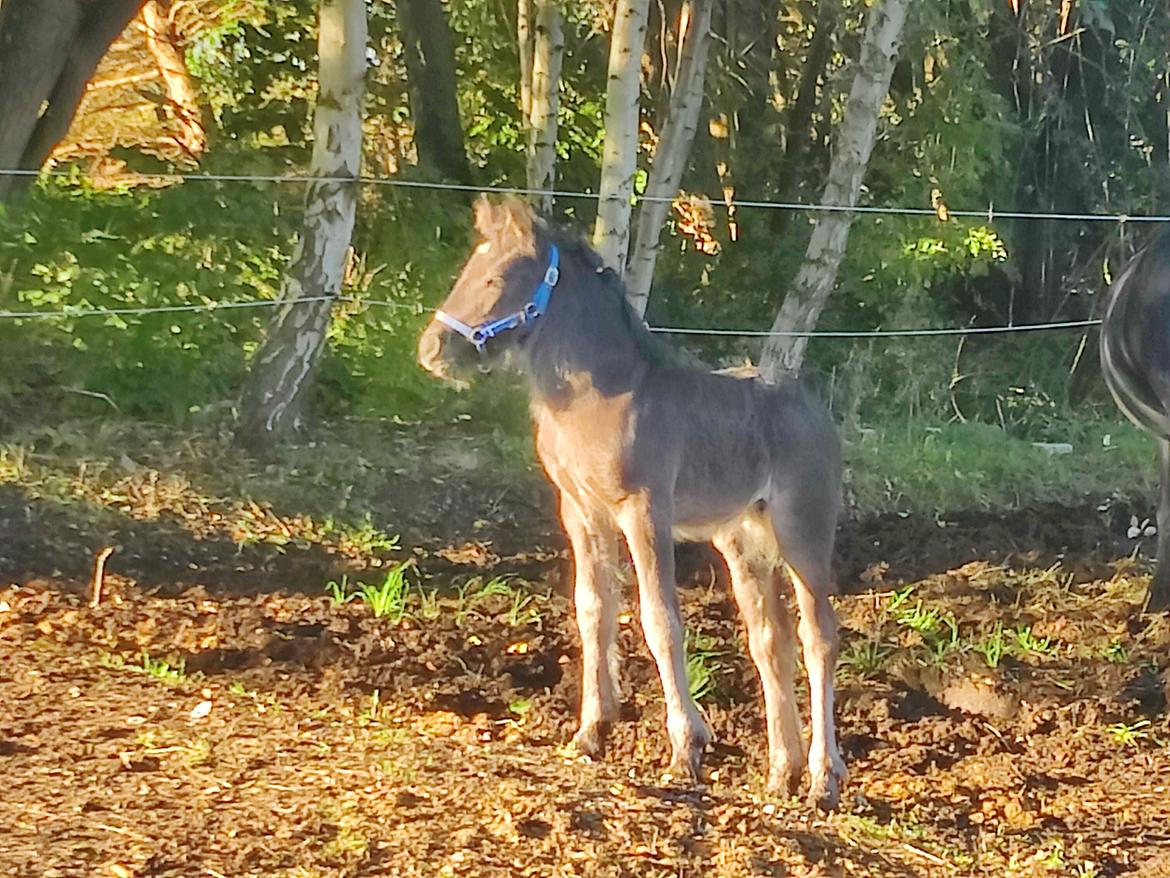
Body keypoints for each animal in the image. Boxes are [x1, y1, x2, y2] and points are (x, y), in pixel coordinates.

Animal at [417, 196, 847, 810]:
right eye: (466, 270)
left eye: (495, 277)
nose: (433, 349)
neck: (596, 396)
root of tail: (814, 408)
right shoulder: (580, 511)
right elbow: (593, 610)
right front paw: (589, 734)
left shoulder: (644, 510)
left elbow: (659, 619)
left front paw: (685, 751)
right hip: (742, 541)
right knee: (772, 642)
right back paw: (778, 775)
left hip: (803, 531)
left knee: (819, 638)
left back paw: (822, 778)